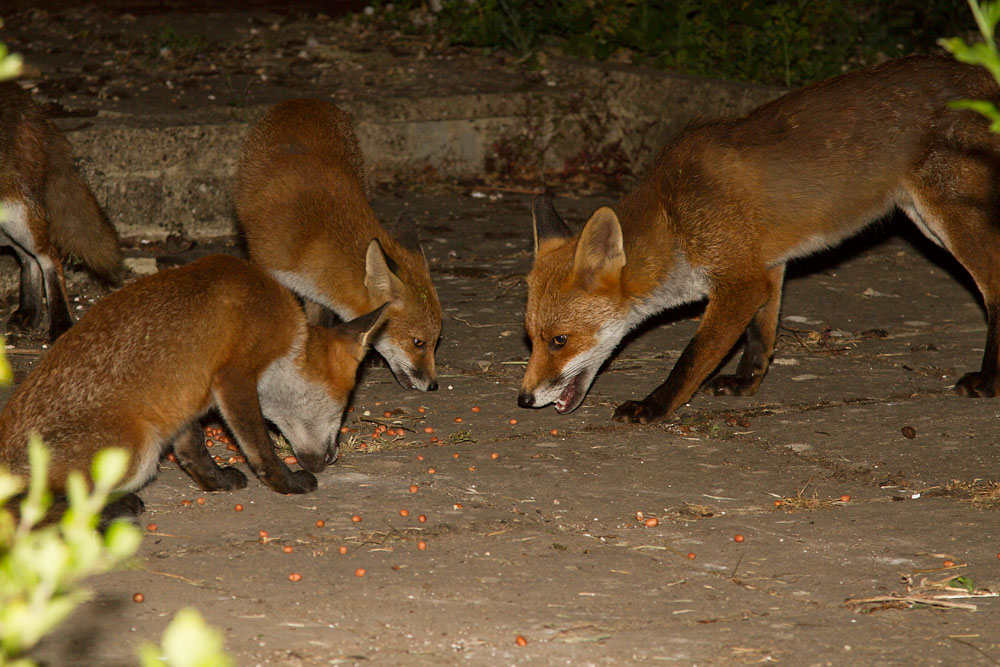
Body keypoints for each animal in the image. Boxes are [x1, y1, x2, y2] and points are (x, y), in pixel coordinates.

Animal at [0, 81, 123, 340]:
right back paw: (29, 311)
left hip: (18, 216)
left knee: (49, 255)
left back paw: (60, 322)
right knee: (28, 258)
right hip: (7, 228)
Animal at [0, 254, 387, 512]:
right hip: (140, 450)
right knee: (29, 503)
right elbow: (260, 447)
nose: (333, 457)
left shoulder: (187, 395)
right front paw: (287, 483)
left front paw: (215, 482)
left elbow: (192, 450)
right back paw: (115, 508)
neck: (289, 340)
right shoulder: (234, 377)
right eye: (343, 405)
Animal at [234, 99, 442, 392]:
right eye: (418, 342)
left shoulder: (315, 294)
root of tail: (302, 101)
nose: (434, 385)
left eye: (435, 342)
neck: (313, 238)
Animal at [518, 54, 1000, 424]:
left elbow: (693, 356)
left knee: (993, 285)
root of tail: (981, 73)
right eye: (531, 338)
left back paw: (989, 380)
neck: (674, 217)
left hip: (951, 218)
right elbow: (761, 334)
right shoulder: (764, 266)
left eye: (559, 340)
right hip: (925, 220)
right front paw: (747, 383)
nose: (524, 398)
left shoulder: (738, 281)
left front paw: (654, 406)